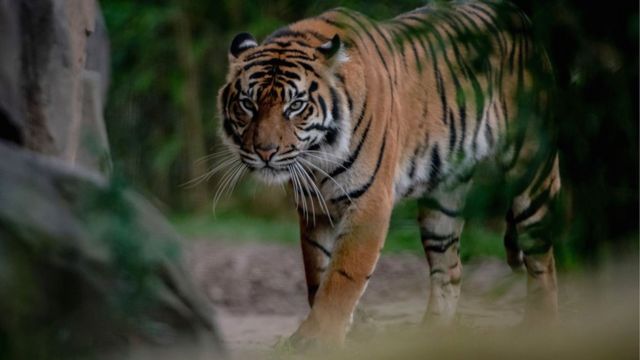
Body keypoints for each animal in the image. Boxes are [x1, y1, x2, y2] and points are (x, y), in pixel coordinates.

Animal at [215, 0, 560, 348]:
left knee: (543, 263)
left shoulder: (369, 203)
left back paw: (541, 325)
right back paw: (432, 335)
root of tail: (517, 14)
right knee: (450, 270)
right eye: (248, 103)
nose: (265, 151)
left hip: (533, 174)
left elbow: (343, 277)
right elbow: (317, 272)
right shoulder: (315, 208)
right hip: (442, 203)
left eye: (296, 105)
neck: (318, 157)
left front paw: (318, 339)